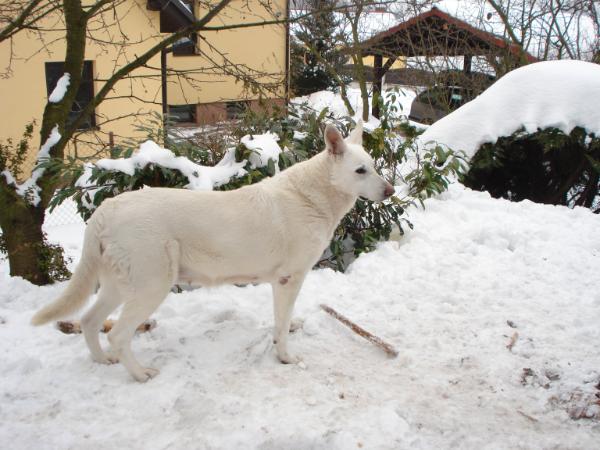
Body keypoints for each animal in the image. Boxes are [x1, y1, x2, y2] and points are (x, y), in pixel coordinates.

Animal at [32, 122, 394, 380]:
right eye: (360, 171)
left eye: (374, 167)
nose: (390, 191)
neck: (313, 196)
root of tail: (106, 210)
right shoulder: (289, 279)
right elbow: (279, 326)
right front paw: (285, 357)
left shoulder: (281, 283)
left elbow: (282, 318)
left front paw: (288, 330)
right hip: (152, 285)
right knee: (118, 334)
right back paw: (140, 373)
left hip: (118, 284)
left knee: (89, 321)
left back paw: (102, 361)